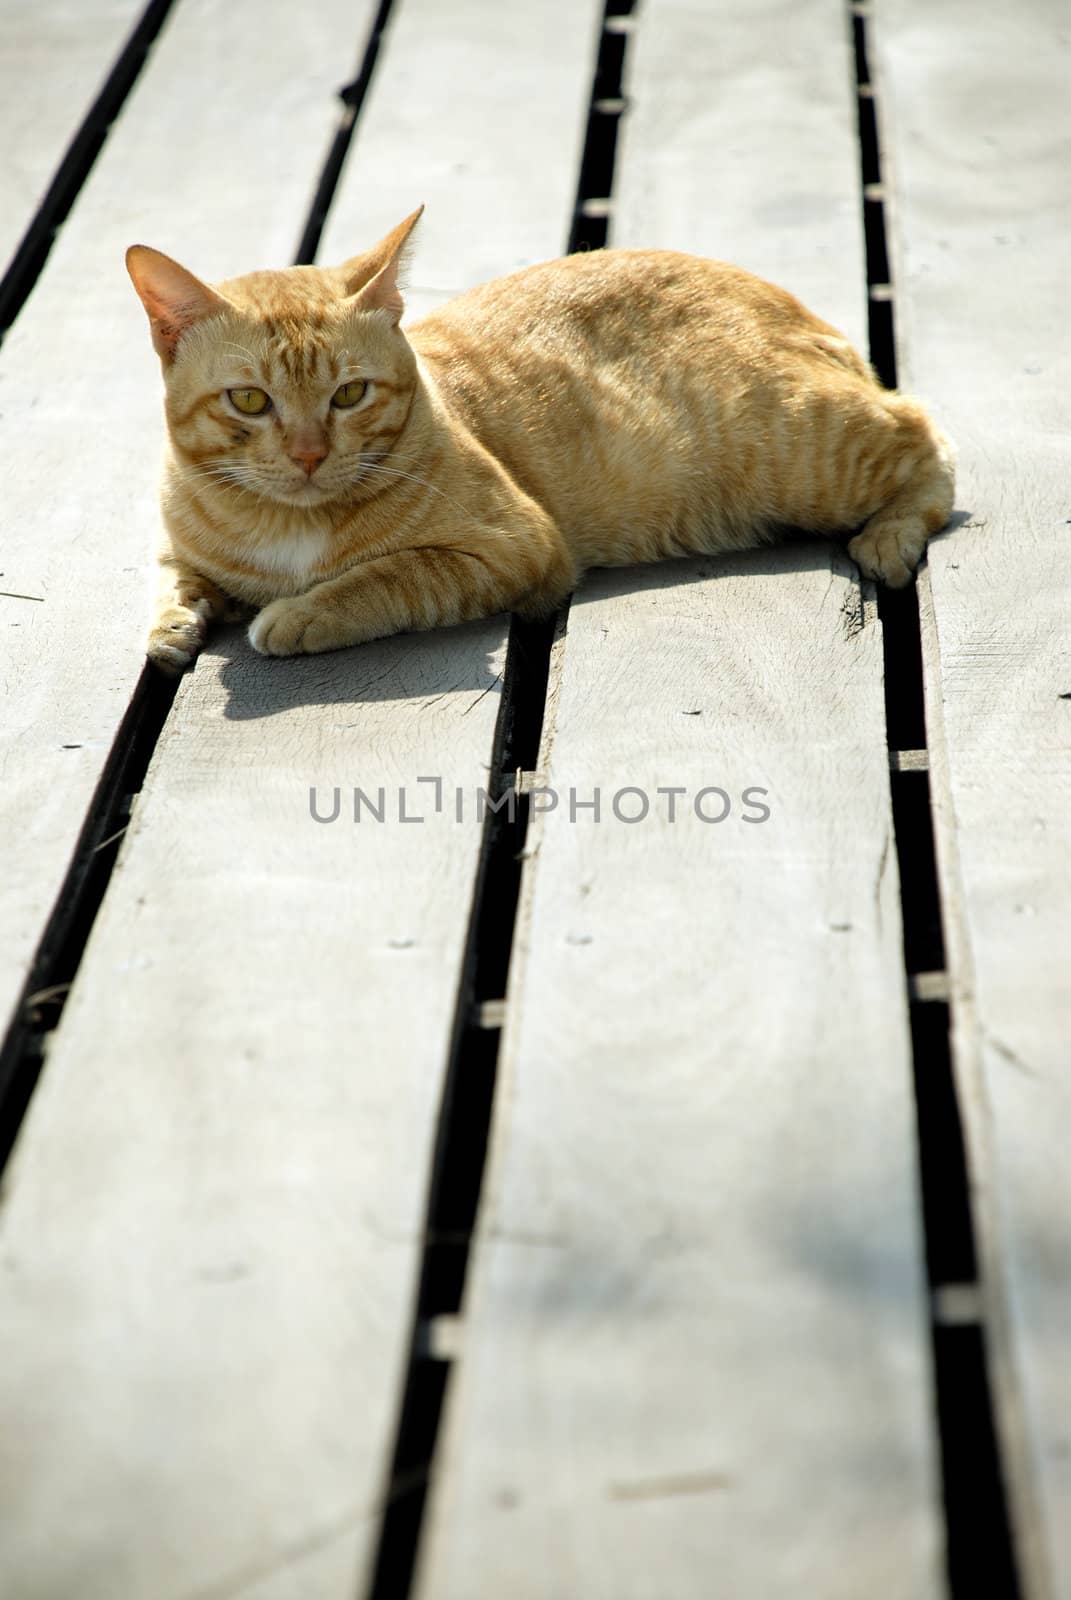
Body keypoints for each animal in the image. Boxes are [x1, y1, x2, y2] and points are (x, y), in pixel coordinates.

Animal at [125, 204, 954, 668]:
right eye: (249, 401)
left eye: (350, 394)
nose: (307, 455)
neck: (285, 527)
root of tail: (795, 306)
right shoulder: (178, 544)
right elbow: (175, 579)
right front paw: (174, 624)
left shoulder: (510, 548)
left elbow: (379, 580)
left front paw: (296, 616)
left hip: (807, 450)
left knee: (926, 436)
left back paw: (888, 538)